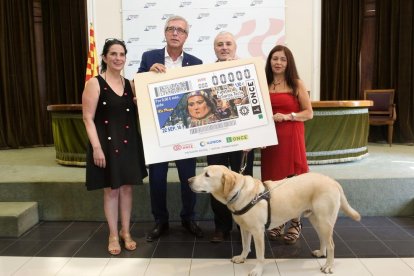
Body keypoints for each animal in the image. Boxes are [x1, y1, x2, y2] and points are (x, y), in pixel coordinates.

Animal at [189, 165, 360, 274]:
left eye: (207, 175)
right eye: (202, 172)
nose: (188, 181)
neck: (239, 192)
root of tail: (334, 181)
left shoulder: (257, 232)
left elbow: (259, 255)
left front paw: (257, 270)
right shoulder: (245, 228)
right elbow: (245, 245)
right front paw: (242, 258)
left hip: (325, 220)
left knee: (331, 244)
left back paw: (328, 266)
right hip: (316, 219)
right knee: (324, 239)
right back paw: (321, 253)